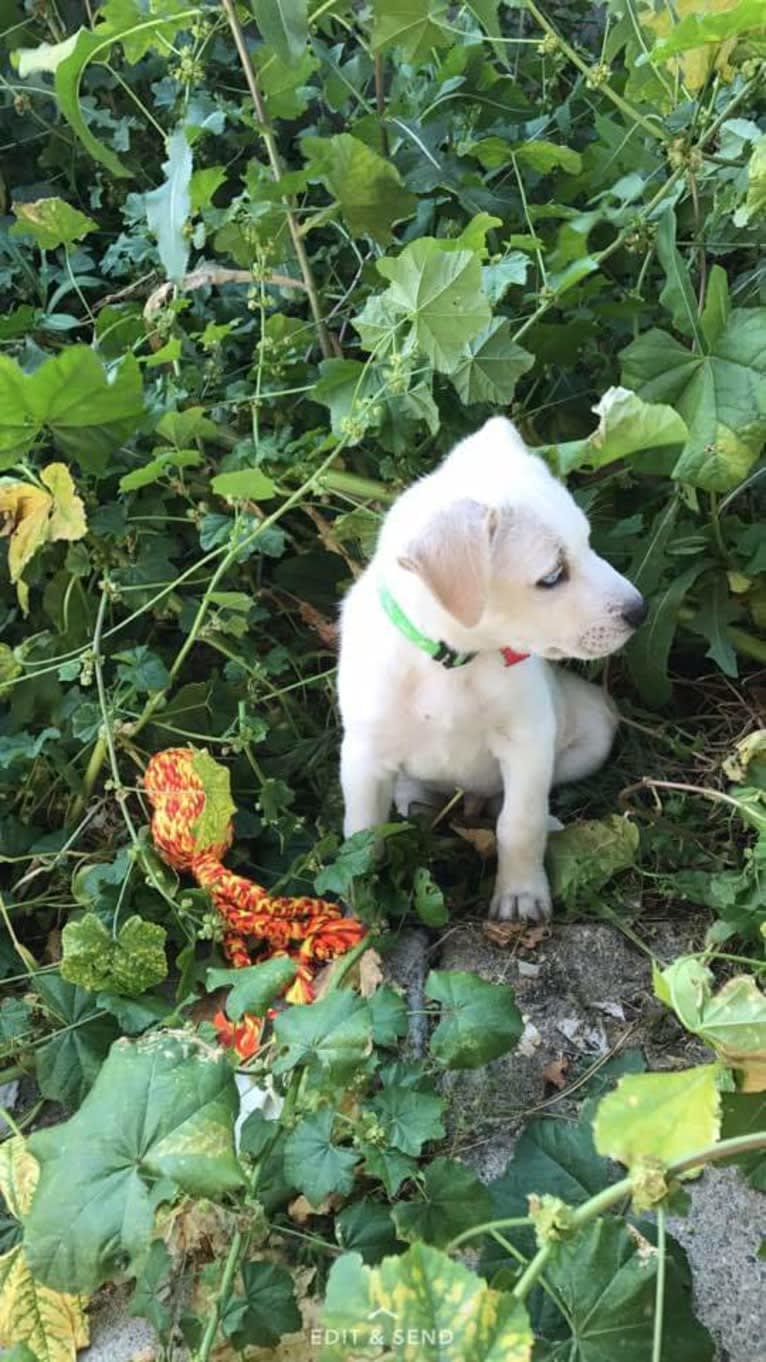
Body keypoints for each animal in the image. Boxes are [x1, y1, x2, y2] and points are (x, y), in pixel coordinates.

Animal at [336, 416, 640, 926]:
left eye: (588, 540)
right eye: (552, 576)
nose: (641, 610)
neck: (452, 662)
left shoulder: (528, 741)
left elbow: (519, 823)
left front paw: (521, 893)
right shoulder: (364, 759)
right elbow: (362, 838)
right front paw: (361, 911)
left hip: (592, 730)